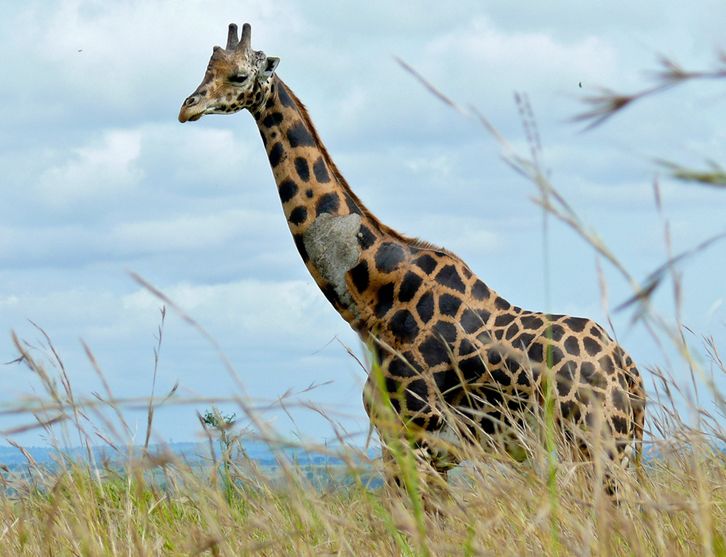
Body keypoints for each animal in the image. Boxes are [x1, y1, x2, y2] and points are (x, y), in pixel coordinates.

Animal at [179, 23, 646, 492]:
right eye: (206, 69)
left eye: (239, 75)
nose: (188, 107)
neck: (370, 301)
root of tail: (629, 371)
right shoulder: (418, 447)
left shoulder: (414, 437)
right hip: (621, 450)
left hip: (594, 449)